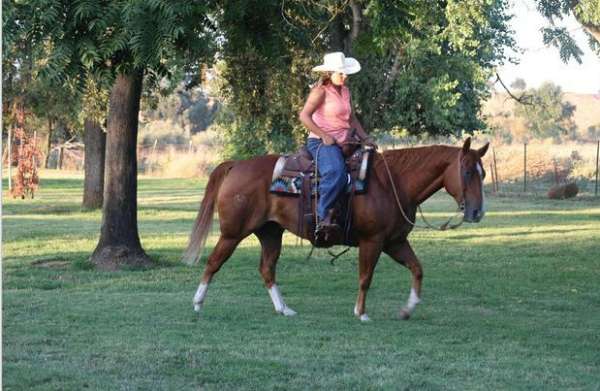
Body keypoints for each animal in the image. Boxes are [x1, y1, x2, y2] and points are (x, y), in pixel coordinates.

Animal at [183, 138, 488, 322]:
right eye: (467, 172)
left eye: (483, 173)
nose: (477, 212)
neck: (394, 184)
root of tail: (237, 164)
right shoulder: (372, 241)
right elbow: (366, 277)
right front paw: (361, 313)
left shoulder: (395, 242)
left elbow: (417, 269)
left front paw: (407, 309)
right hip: (233, 233)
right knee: (213, 262)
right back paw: (197, 303)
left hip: (270, 232)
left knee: (267, 269)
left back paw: (284, 308)